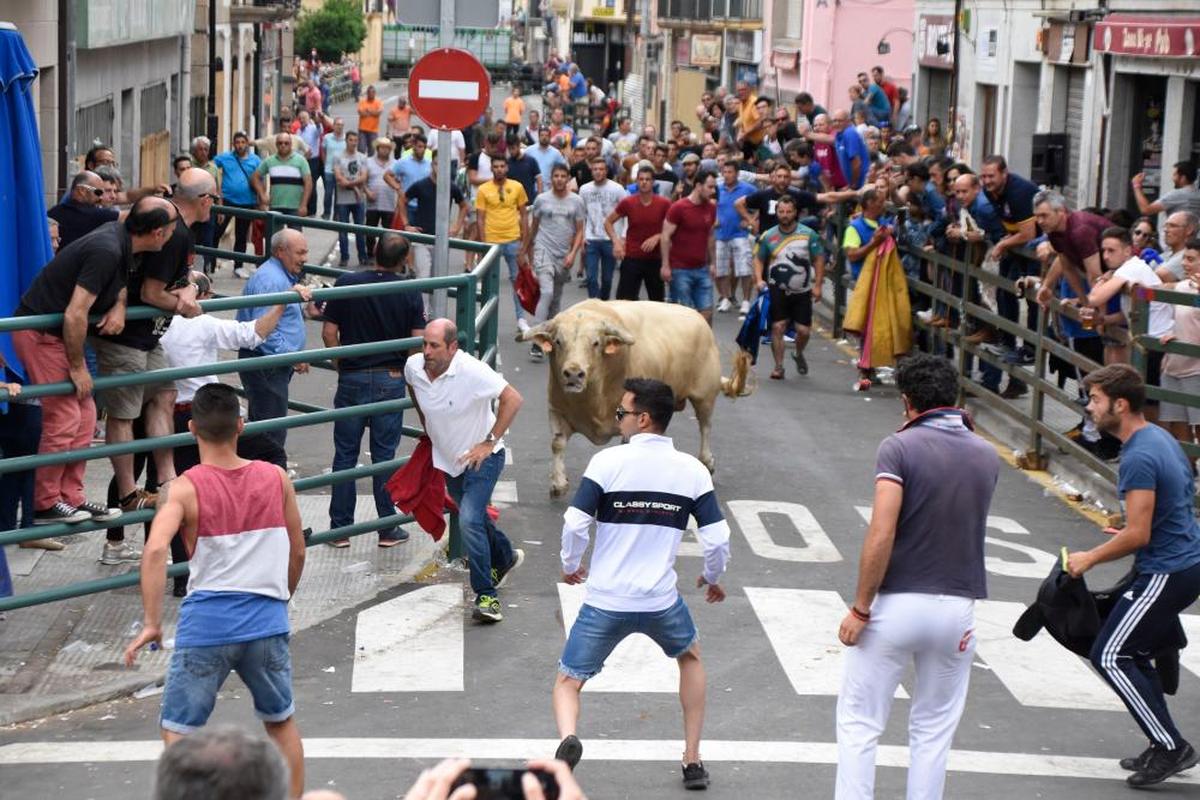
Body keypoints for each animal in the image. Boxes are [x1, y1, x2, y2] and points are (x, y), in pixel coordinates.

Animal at [518, 299, 748, 496]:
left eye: (595, 343)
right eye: (558, 342)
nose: (574, 374)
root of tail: (701, 321)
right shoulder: (556, 409)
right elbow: (557, 443)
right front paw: (558, 483)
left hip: (705, 396)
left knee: (705, 426)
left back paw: (707, 461)